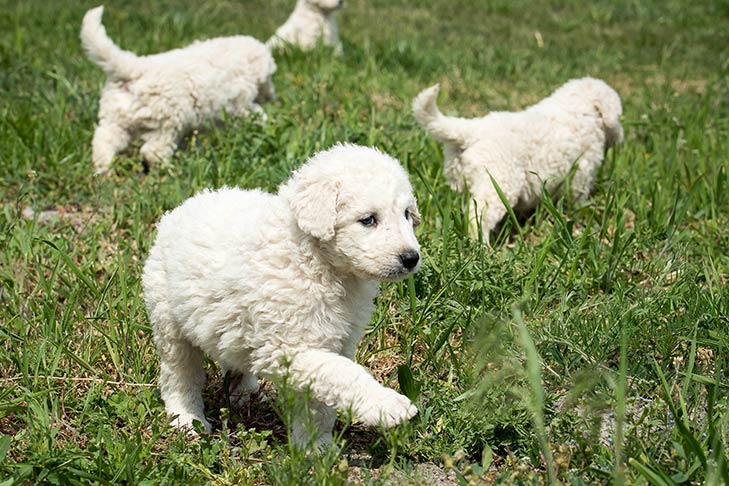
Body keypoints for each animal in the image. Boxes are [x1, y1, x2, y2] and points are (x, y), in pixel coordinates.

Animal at [80, 6, 276, 175]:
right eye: (270, 77)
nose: (272, 97)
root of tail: (134, 69)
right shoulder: (239, 104)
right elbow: (255, 113)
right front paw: (267, 122)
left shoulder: (191, 128)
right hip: (166, 123)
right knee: (152, 151)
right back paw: (170, 172)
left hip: (117, 119)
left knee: (103, 141)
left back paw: (104, 170)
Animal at [142, 143, 420, 448]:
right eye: (368, 220)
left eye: (407, 214)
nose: (411, 258)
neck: (317, 262)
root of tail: (185, 206)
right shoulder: (286, 348)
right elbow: (342, 374)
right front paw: (388, 406)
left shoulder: (337, 342)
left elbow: (320, 400)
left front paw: (317, 446)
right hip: (169, 320)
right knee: (180, 374)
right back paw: (187, 420)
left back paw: (245, 393)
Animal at [412, 76, 624, 241]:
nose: (621, 137)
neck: (577, 108)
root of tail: (472, 131)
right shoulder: (583, 169)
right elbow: (578, 194)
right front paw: (579, 210)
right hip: (498, 184)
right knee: (478, 218)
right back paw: (482, 246)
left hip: (459, 174)